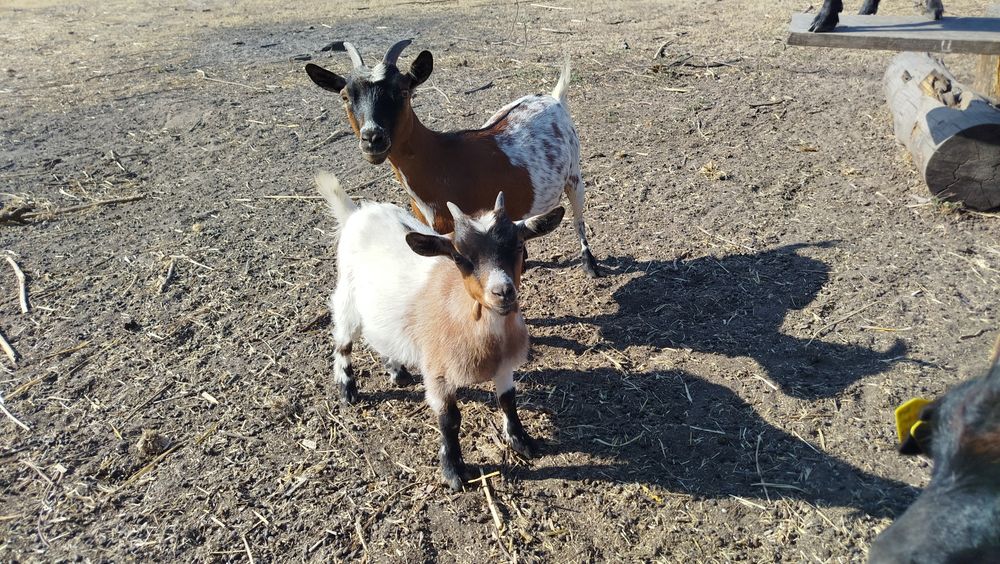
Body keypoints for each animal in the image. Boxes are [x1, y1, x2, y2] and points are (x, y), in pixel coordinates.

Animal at [305, 40, 600, 277]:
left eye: (403, 92)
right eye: (345, 96)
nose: (372, 138)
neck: (441, 158)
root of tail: (552, 98)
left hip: (574, 175)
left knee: (578, 216)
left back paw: (590, 264)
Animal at [315, 171, 565, 491]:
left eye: (518, 246)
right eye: (459, 257)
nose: (503, 292)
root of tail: (357, 212)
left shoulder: (504, 364)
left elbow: (508, 400)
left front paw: (522, 442)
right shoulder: (438, 372)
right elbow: (449, 419)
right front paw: (454, 471)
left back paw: (397, 372)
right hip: (347, 299)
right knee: (343, 342)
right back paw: (347, 389)